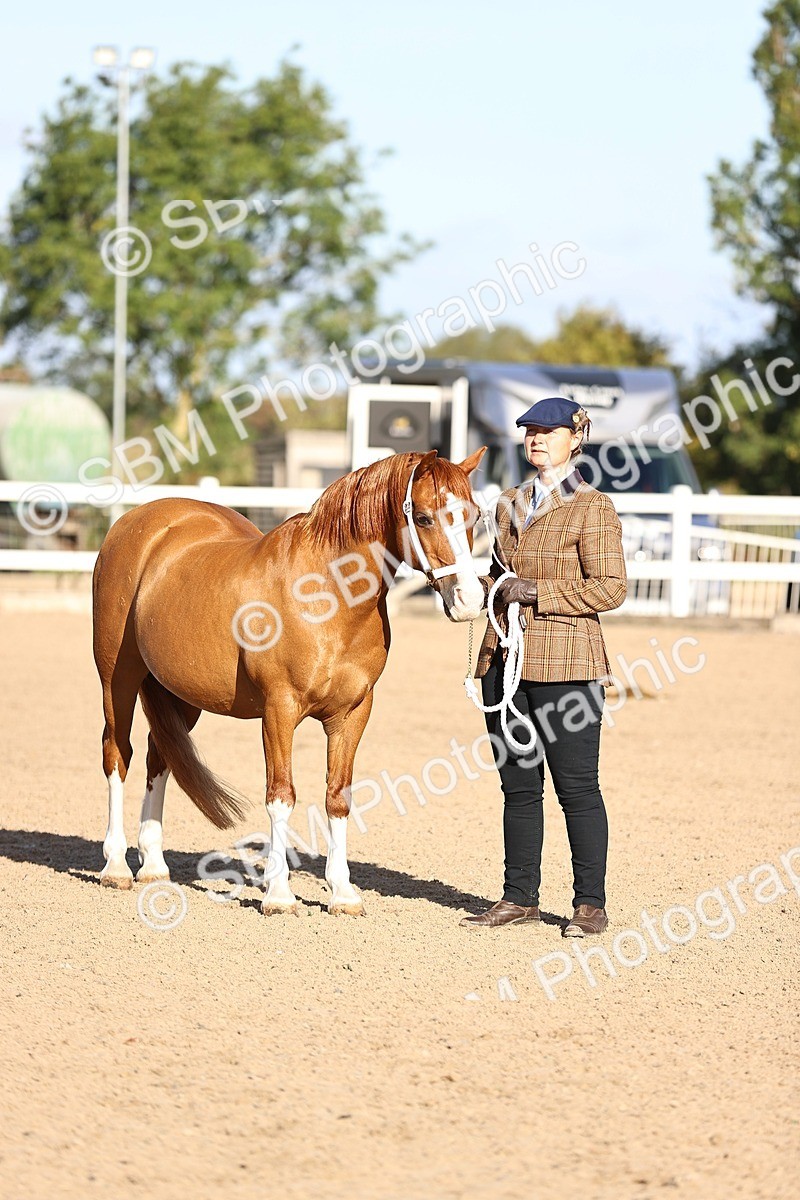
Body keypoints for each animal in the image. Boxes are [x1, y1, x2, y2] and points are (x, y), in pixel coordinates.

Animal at [92, 446, 487, 915]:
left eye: (476, 516)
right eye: (424, 518)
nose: (470, 600)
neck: (328, 596)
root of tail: (135, 522)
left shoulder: (353, 713)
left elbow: (338, 796)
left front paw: (342, 893)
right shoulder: (280, 709)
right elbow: (281, 795)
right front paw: (279, 894)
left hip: (182, 695)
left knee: (159, 759)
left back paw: (153, 865)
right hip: (118, 679)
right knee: (118, 755)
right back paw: (116, 866)